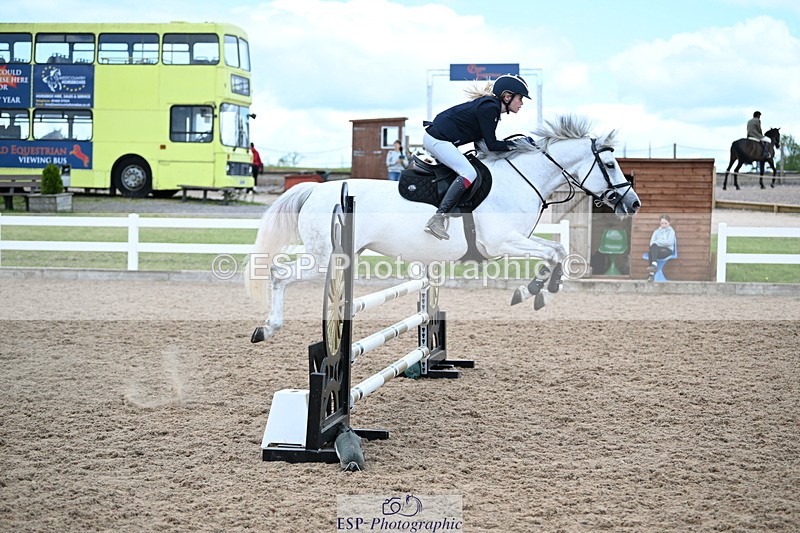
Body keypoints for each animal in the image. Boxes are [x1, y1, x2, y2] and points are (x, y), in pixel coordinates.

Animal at [245, 115, 641, 343]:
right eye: (609, 164)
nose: (633, 203)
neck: (520, 180)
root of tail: (315, 189)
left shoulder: (516, 241)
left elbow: (557, 251)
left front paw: (541, 289)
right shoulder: (502, 243)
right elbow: (554, 252)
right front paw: (534, 290)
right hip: (325, 256)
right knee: (280, 274)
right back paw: (268, 327)